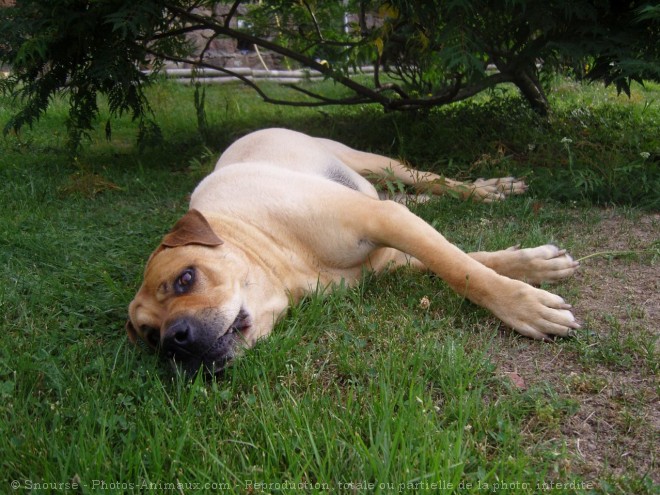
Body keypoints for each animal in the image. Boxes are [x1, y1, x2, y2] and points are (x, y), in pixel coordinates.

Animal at [126, 128, 580, 376]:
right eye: (150, 336)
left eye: (185, 278)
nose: (175, 342)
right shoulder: (391, 255)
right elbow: (466, 261)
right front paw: (535, 266)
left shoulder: (383, 220)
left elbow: (461, 268)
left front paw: (525, 306)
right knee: (417, 198)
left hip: (377, 163)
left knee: (433, 180)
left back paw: (487, 189)